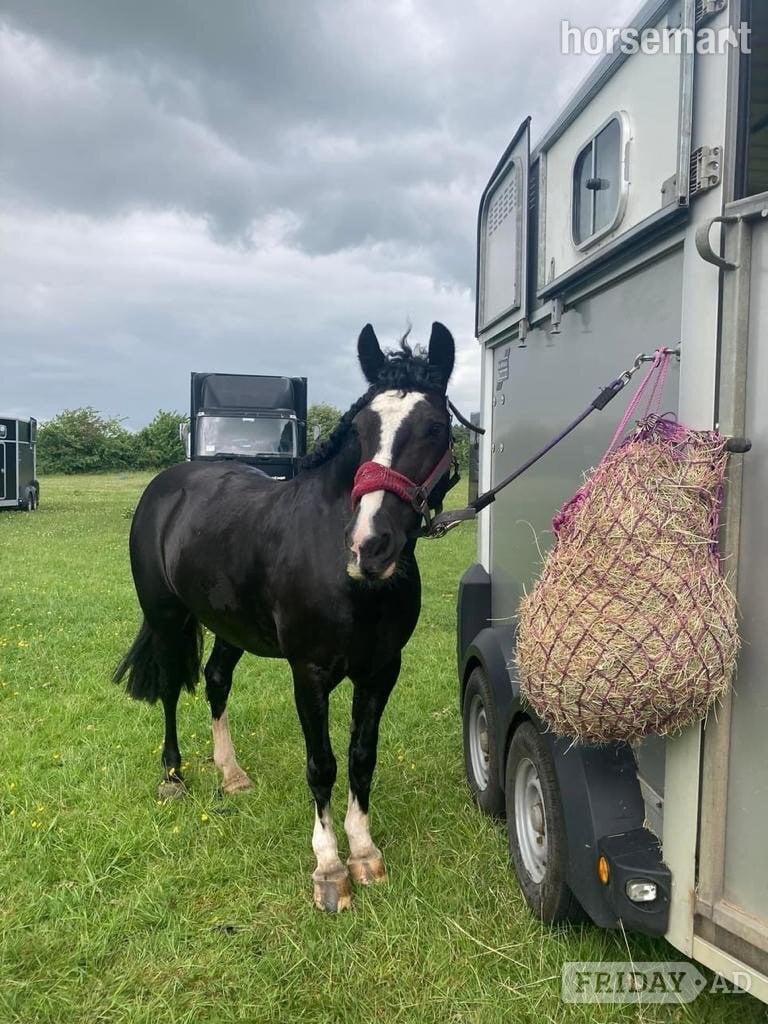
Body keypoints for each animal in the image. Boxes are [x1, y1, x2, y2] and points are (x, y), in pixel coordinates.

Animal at [114, 322, 457, 912]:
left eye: (434, 427)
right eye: (361, 428)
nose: (370, 545)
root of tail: (167, 486)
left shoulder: (381, 671)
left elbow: (362, 757)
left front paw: (364, 853)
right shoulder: (309, 673)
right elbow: (322, 764)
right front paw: (330, 869)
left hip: (229, 625)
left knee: (216, 679)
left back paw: (231, 775)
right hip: (165, 617)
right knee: (169, 687)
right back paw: (174, 776)